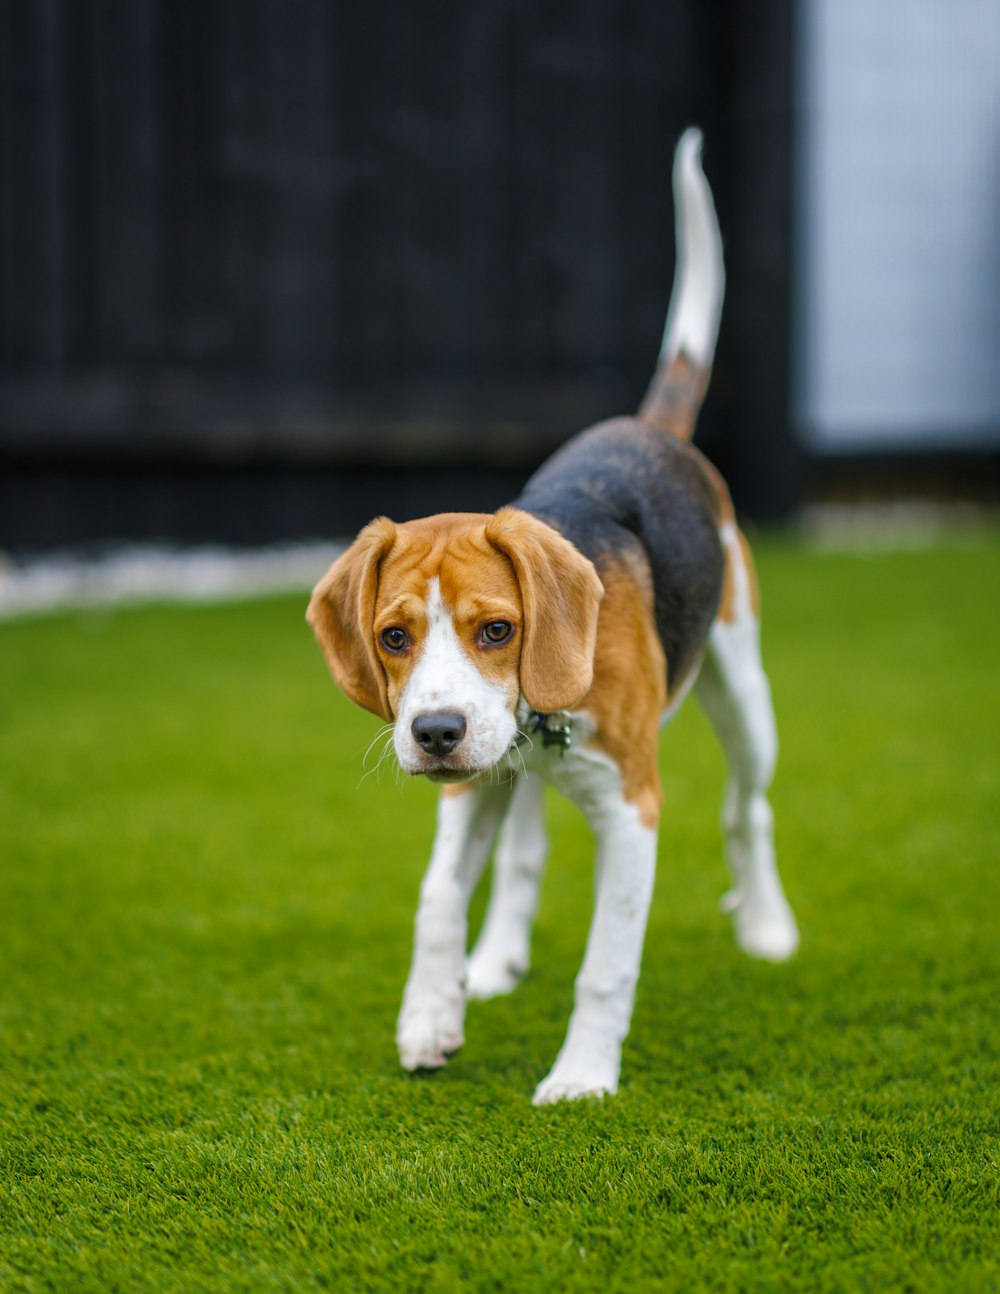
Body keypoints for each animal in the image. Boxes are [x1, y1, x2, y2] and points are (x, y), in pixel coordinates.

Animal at [307, 128, 802, 1102]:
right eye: (393, 637)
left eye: (498, 630)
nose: (435, 733)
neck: (541, 717)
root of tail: (652, 429)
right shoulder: (471, 782)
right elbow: (436, 897)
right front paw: (429, 1014)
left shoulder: (633, 810)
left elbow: (605, 963)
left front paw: (580, 1077)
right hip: (504, 776)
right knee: (521, 853)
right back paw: (495, 960)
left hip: (744, 690)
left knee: (747, 809)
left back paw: (766, 927)